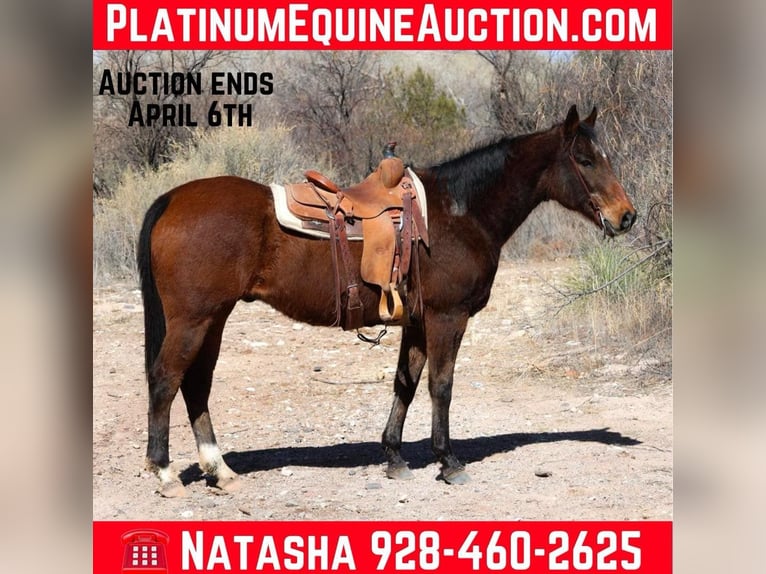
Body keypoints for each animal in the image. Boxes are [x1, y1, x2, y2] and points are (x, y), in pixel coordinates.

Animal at [137, 105, 636, 497]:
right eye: (585, 160)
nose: (626, 216)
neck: (461, 212)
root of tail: (171, 199)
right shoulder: (447, 318)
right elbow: (441, 386)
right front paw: (448, 461)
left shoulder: (416, 322)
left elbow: (405, 384)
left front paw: (395, 457)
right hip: (194, 319)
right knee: (166, 380)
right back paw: (164, 473)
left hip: (213, 319)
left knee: (196, 384)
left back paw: (220, 470)